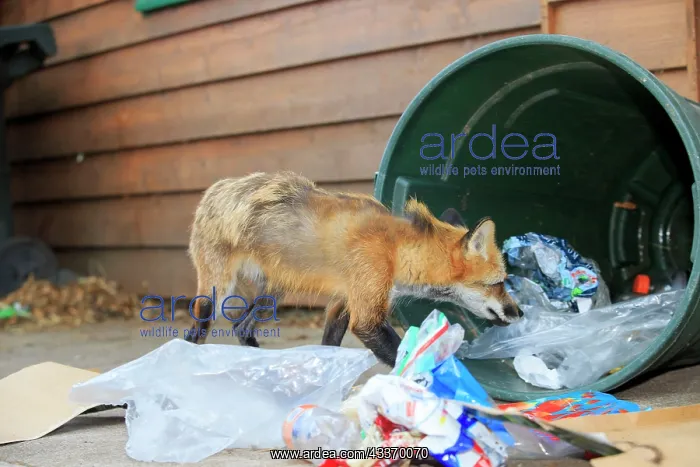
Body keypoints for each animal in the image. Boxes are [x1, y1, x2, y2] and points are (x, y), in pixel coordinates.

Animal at [184, 171, 522, 367]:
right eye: (498, 282)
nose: (519, 313)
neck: (395, 250)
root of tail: (216, 188)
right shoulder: (366, 314)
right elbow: (401, 358)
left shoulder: (343, 302)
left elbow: (329, 346)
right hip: (215, 292)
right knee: (195, 332)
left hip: (274, 293)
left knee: (242, 327)